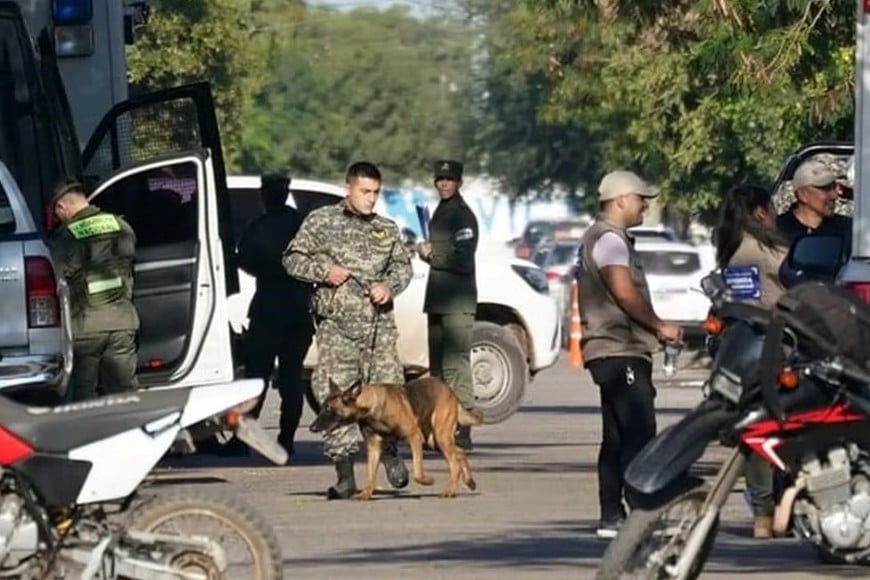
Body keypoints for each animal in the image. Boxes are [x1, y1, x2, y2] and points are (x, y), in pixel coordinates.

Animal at [310, 376, 484, 498]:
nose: (312, 427)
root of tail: (450, 390)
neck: (372, 406)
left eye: (329, 409)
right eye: (322, 408)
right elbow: (370, 473)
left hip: (439, 437)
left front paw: (427, 481)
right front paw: (366, 493)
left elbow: (417, 473)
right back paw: (469, 481)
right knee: (459, 452)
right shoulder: (373, 446)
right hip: (433, 440)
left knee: (454, 463)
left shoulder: (415, 437)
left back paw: (449, 491)